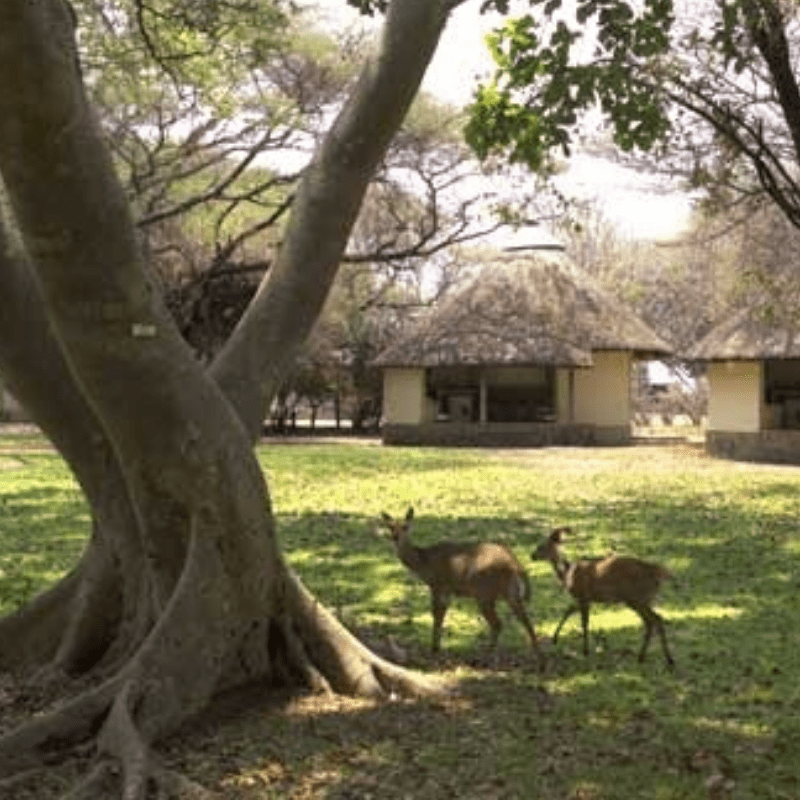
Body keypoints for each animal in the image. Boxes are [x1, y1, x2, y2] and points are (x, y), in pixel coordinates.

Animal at [380, 510, 540, 652]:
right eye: (391, 526)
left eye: (405, 526)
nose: (395, 537)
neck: (424, 563)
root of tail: (516, 564)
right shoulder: (447, 589)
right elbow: (442, 614)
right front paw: (437, 646)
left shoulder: (438, 584)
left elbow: (436, 614)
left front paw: (434, 648)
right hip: (510, 592)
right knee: (525, 620)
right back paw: (538, 656)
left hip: (485, 593)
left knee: (498, 623)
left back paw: (488, 652)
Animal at [532, 528, 676, 664]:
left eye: (541, 546)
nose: (532, 556)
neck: (568, 575)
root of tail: (658, 573)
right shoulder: (585, 598)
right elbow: (569, 611)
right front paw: (555, 638)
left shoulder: (583, 596)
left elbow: (583, 622)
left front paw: (585, 651)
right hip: (641, 599)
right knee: (653, 620)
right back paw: (650, 658)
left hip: (636, 597)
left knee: (654, 619)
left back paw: (663, 658)